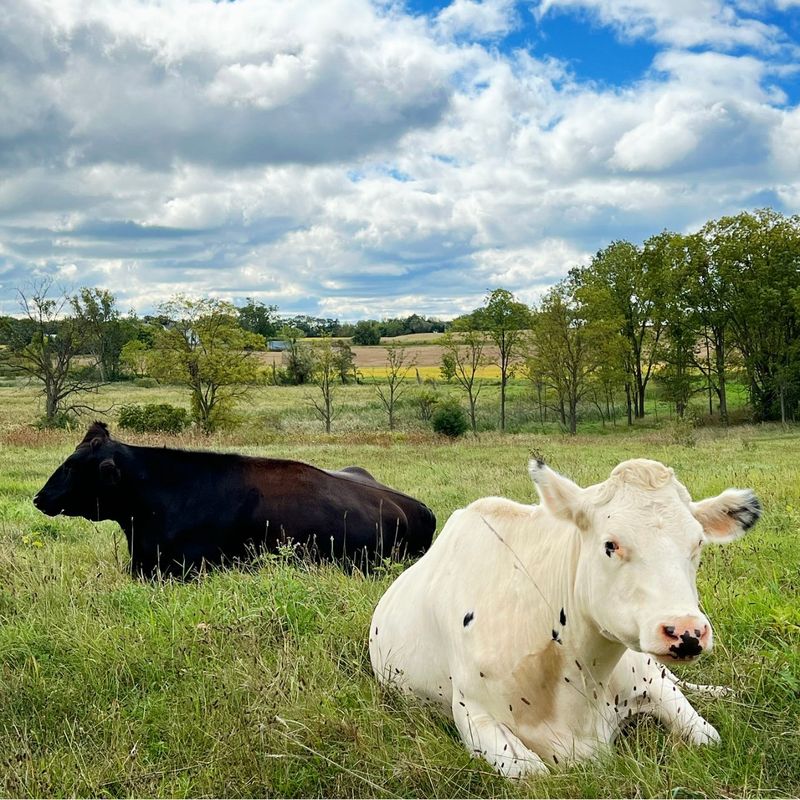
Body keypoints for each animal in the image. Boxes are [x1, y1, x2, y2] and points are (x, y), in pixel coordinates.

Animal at [370, 460, 764, 780]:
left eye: (697, 544)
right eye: (610, 545)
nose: (685, 631)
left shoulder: (653, 683)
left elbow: (708, 737)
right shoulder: (473, 712)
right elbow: (531, 774)